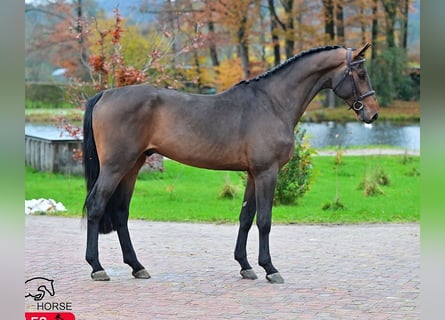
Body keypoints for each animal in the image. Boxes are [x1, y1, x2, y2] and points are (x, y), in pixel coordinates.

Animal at [82, 43, 378, 284]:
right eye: (361, 74)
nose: (373, 113)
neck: (273, 102)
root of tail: (105, 95)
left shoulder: (253, 174)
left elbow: (246, 217)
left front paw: (246, 266)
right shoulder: (267, 172)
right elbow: (264, 221)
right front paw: (270, 268)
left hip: (132, 166)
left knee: (121, 212)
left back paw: (137, 266)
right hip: (115, 167)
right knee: (96, 206)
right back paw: (97, 268)